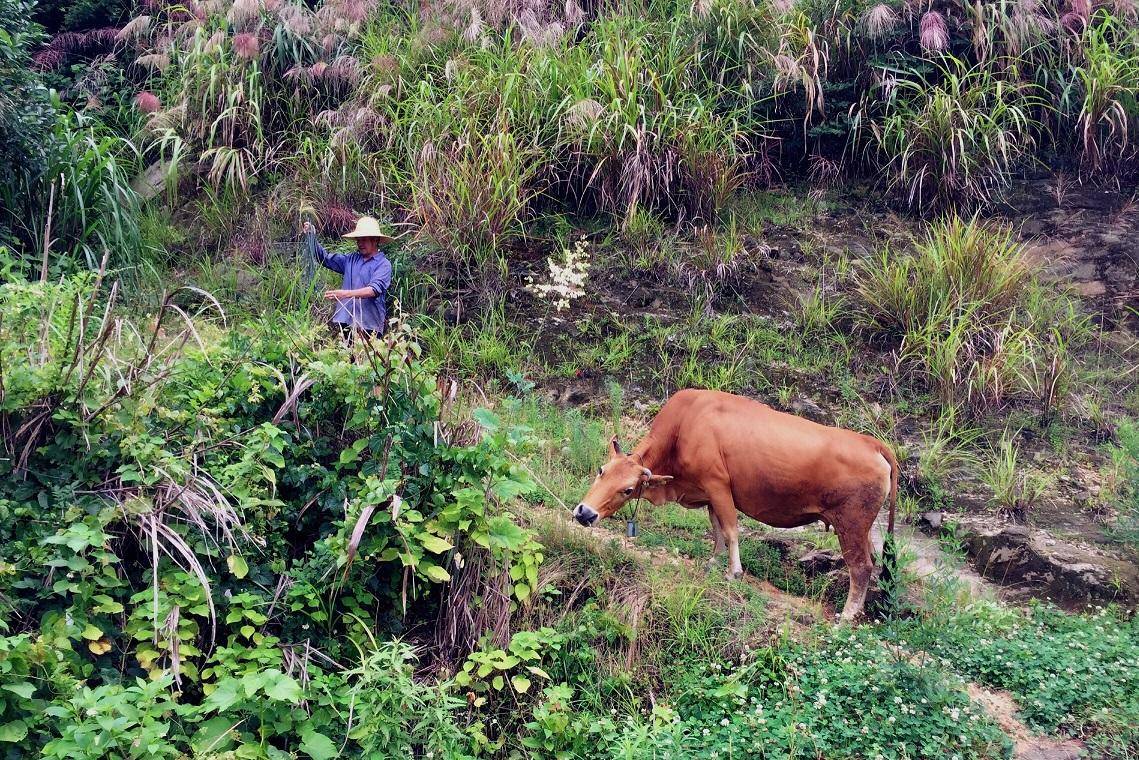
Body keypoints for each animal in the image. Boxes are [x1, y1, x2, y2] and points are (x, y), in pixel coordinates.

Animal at [574, 389, 892, 619]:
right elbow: (716, 530)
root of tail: (872, 443)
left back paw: (847, 615)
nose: (584, 512)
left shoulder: (719, 486)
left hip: (850, 524)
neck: (683, 427)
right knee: (870, 562)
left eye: (628, 489)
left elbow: (730, 530)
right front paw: (713, 562)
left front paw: (733, 572)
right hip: (863, 528)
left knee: (860, 567)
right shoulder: (708, 494)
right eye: (601, 470)